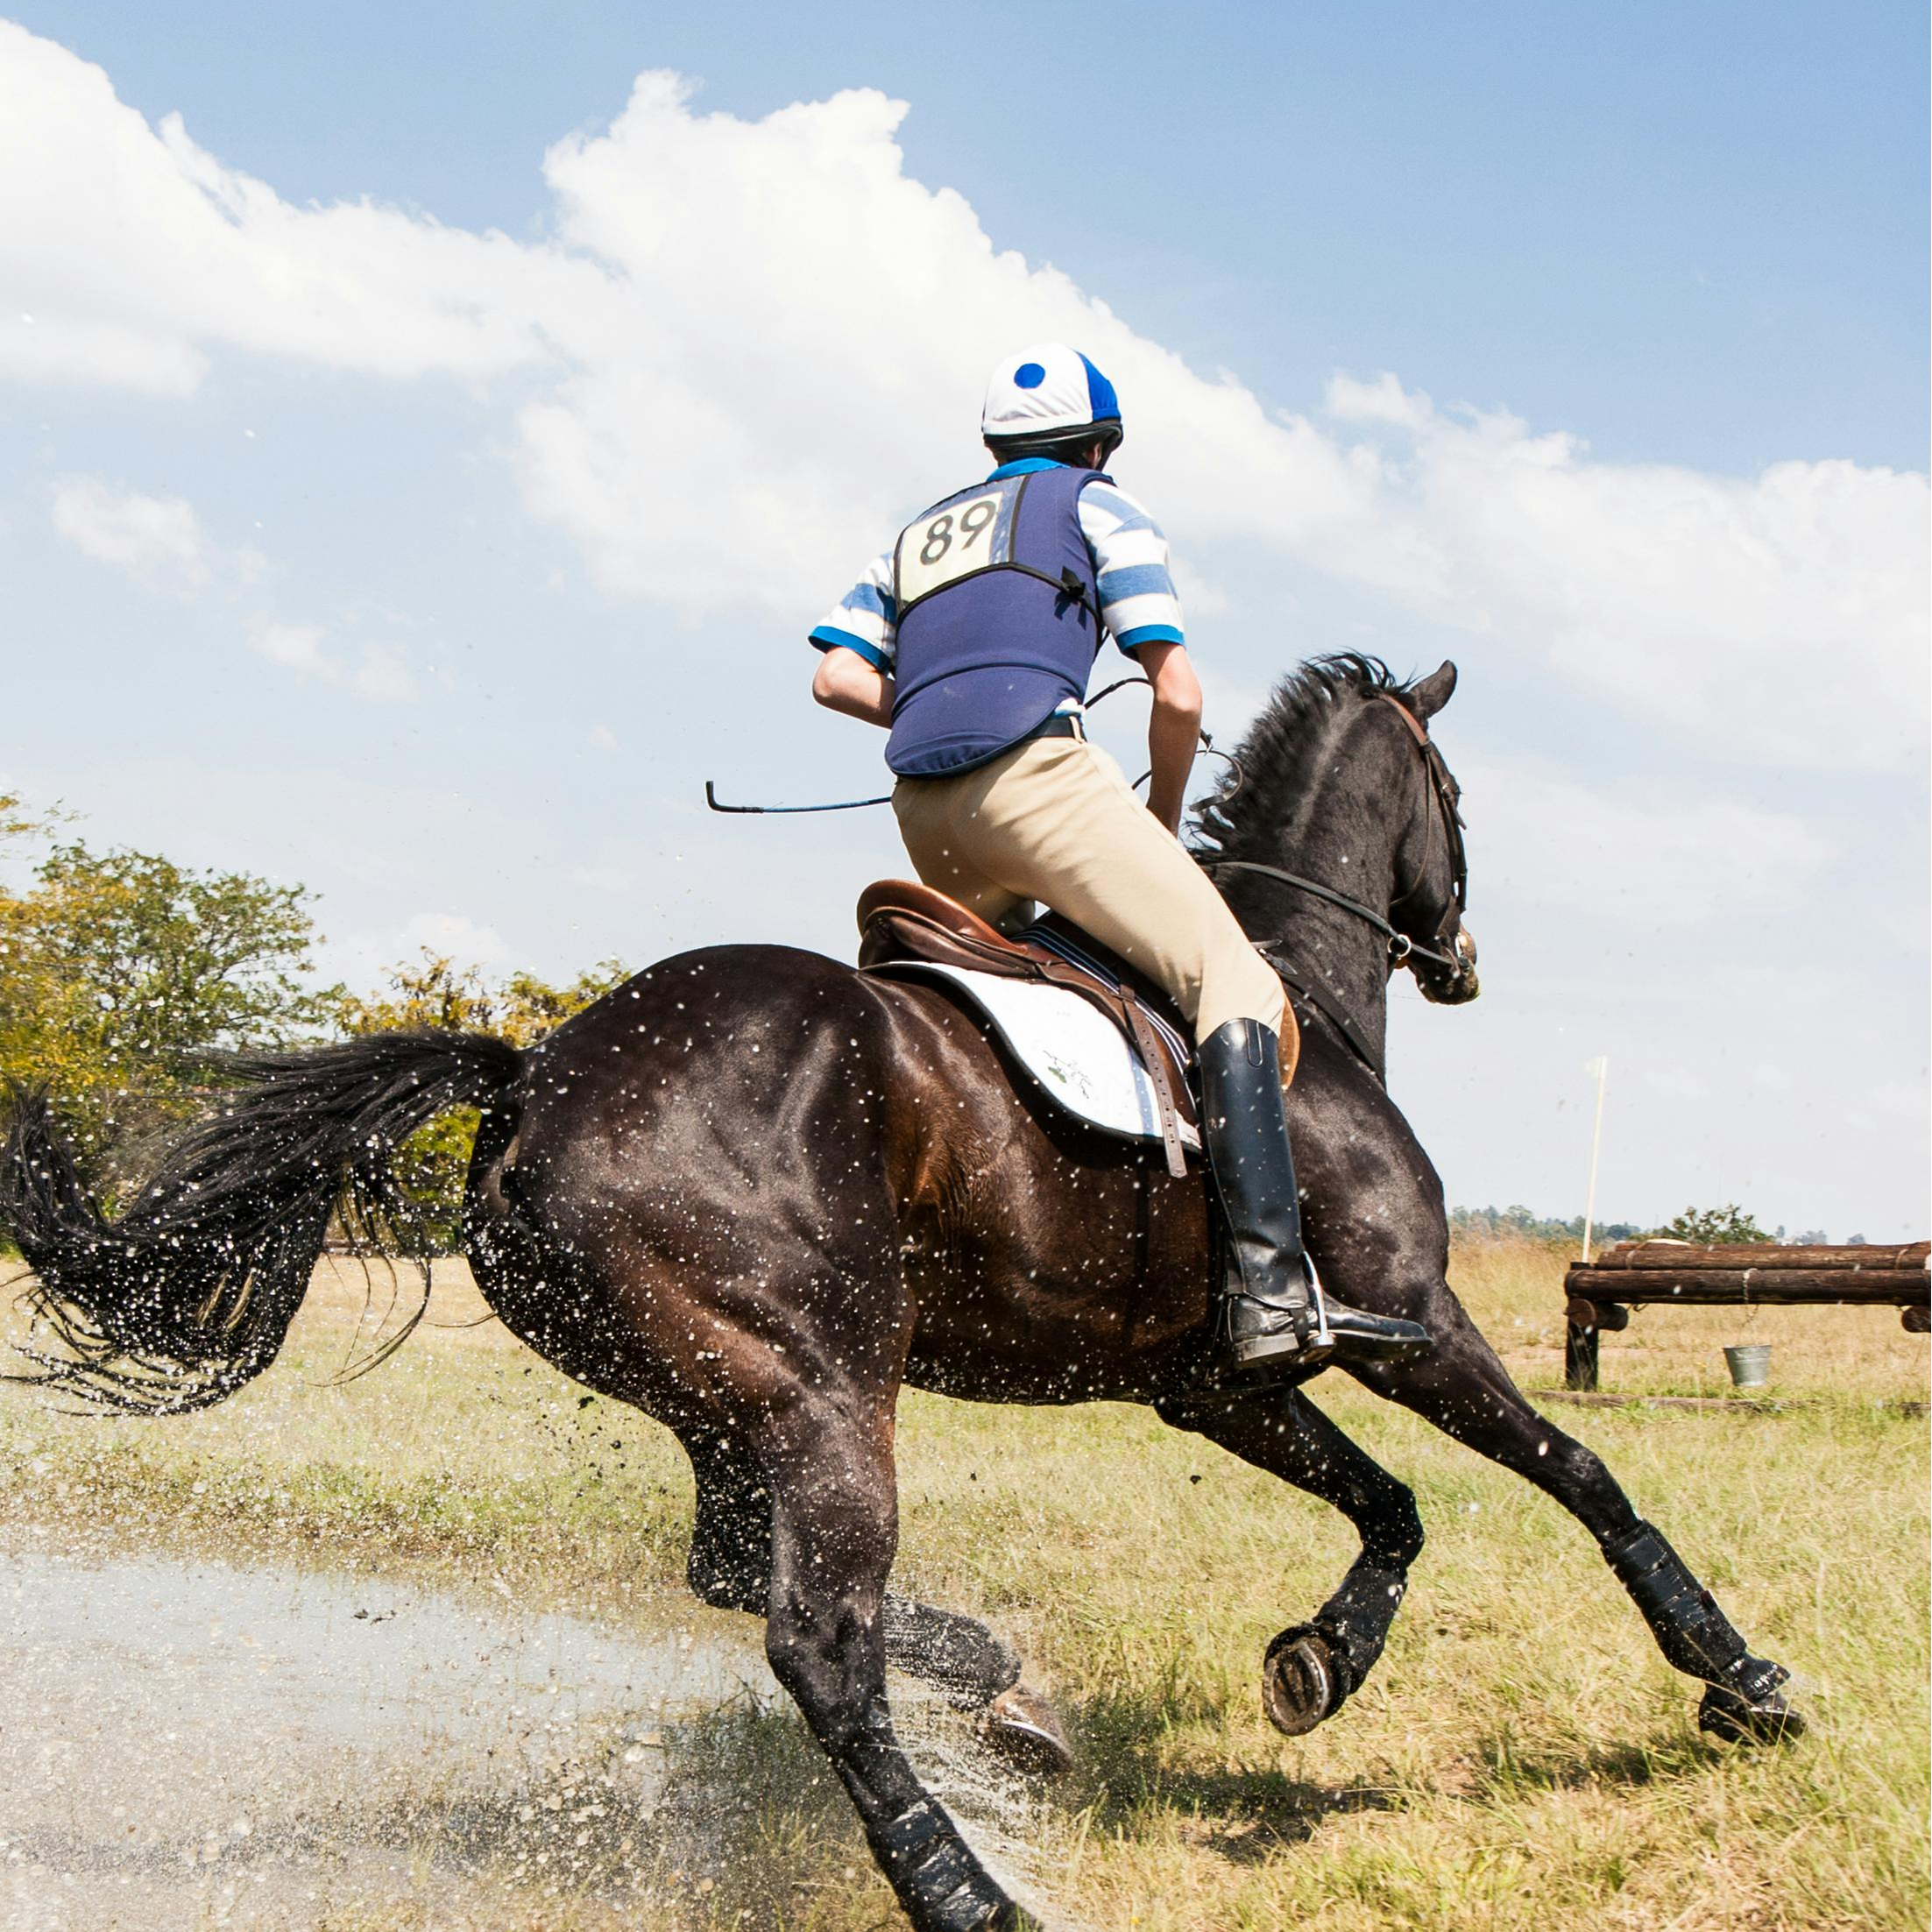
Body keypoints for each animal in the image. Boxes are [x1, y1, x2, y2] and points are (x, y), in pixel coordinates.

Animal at [1, 655, 1800, 1932]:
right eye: (1453, 794)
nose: (1463, 955)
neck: (1291, 994)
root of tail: (537, 1082)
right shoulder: (1408, 1320)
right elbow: (1578, 1474)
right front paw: (1740, 1680)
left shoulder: (1212, 1381)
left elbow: (1393, 1507)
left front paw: (1318, 1663)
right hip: (822, 1387)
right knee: (815, 1639)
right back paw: (967, 1888)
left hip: (723, 1388)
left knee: (742, 1575)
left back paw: (1002, 1694)